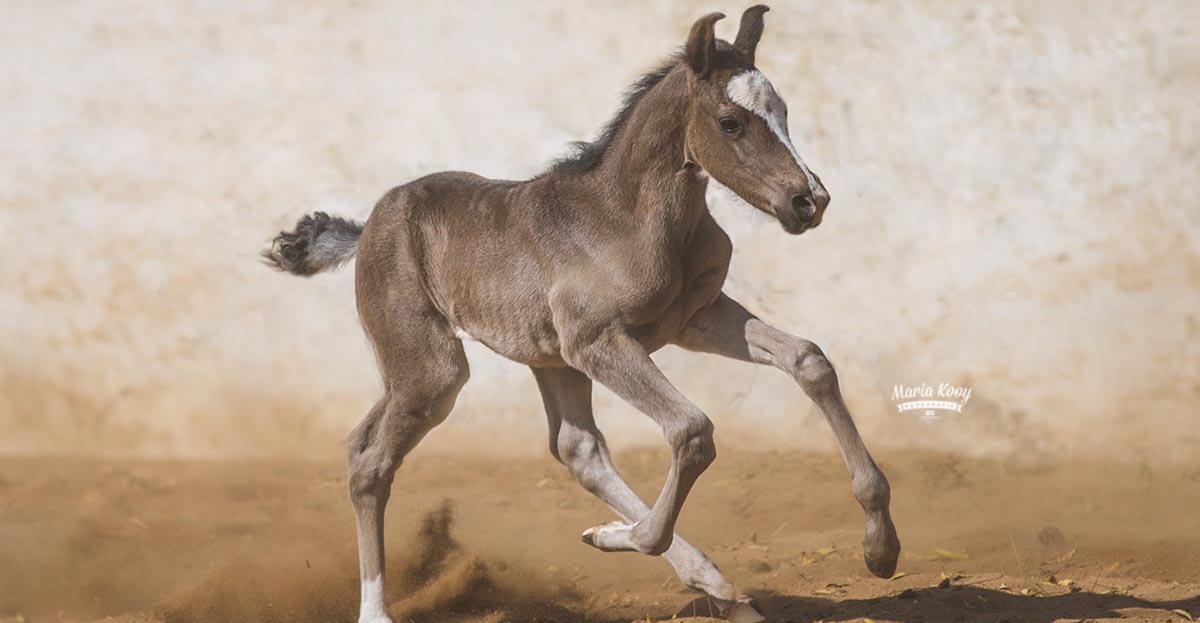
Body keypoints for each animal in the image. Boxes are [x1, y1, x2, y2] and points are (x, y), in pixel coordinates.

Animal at [265, 6, 902, 623]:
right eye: (731, 122)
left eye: (783, 111)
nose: (809, 201)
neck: (629, 219)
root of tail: (369, 225)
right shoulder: (599, 341)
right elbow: (691, 431)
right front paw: (614, 537)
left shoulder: (691, 319)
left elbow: (809, 360)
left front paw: (881, 548)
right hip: (436, 370)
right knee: (373, 464)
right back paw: (376, 611)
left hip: (528, 361)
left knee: (567, 449)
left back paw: (725, 591)